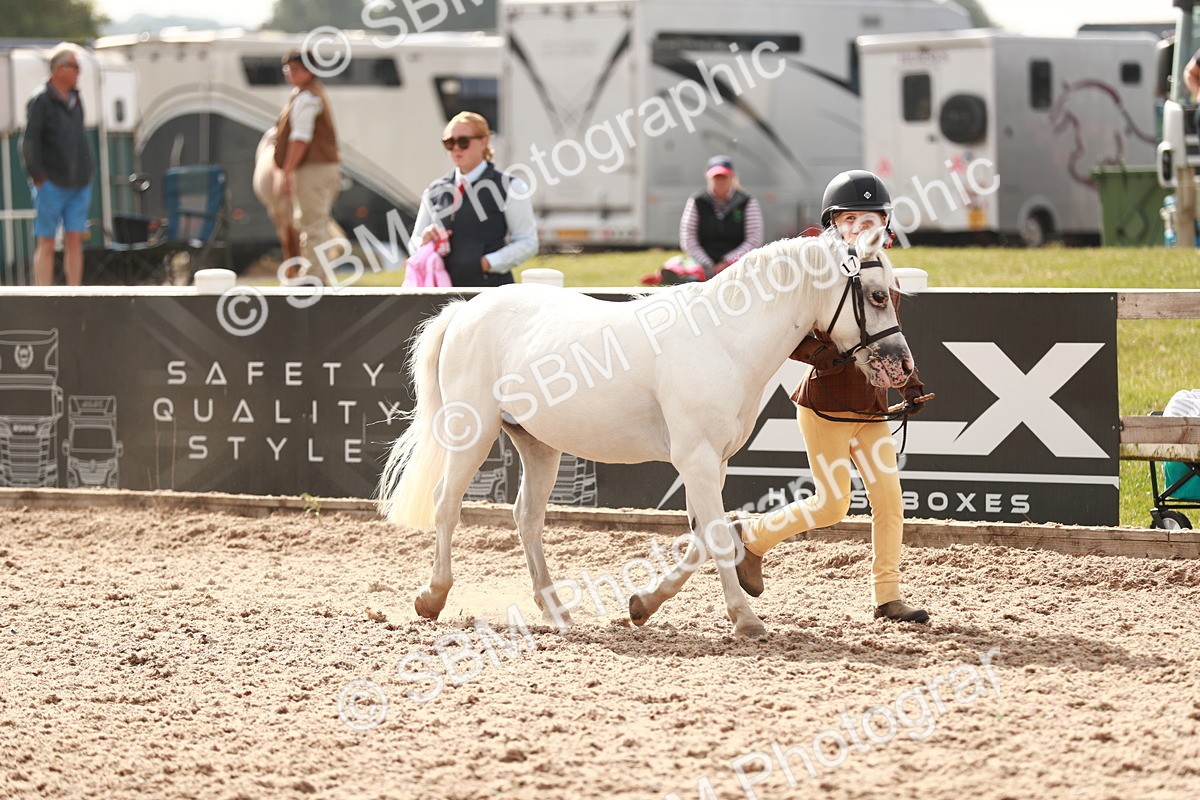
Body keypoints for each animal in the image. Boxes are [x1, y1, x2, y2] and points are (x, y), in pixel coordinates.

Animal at [377, 226, 913, 638]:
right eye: (877, 295)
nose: (903, 366)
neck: (722, 341)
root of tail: (464, 312)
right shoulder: (696, 459)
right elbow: (716, 538)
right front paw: (746, 620)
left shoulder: (712, 462)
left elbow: (703, 538)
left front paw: (643, 605)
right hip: (473, 431)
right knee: (447, 504)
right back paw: (432, 598)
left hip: (537, 444)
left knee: (527, 517)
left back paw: (555, 610)